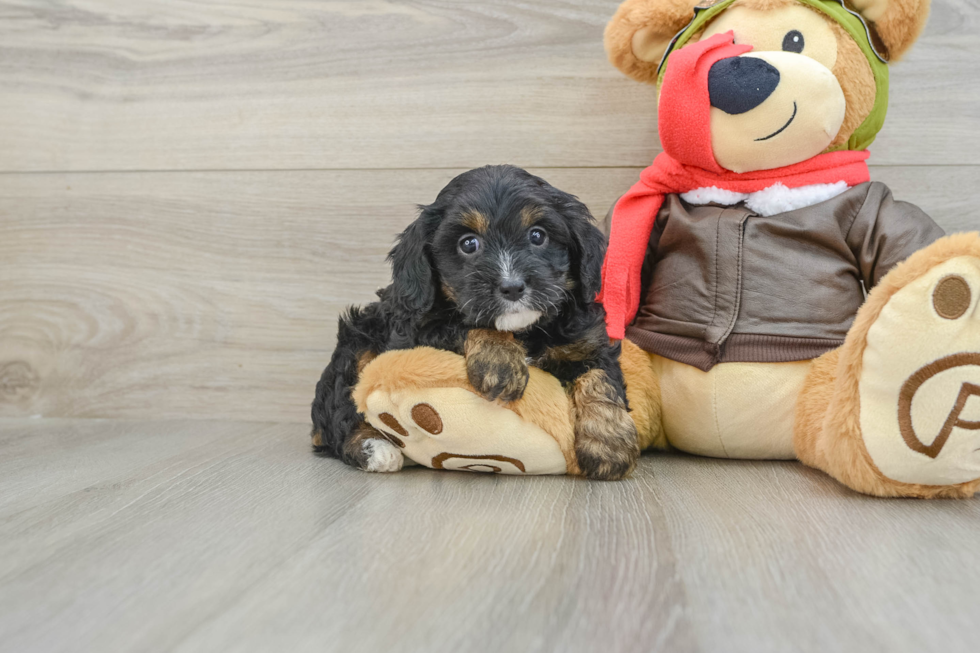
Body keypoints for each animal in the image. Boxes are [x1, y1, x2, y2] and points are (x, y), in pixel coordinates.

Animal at [310, 163, 640, 478]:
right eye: (468, 244)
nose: (512, 287)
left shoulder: (587, 341)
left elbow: (600, 377)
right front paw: (501, 362)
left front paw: (609, 443)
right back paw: (375, 448)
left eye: (538, 236)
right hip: (356, 343)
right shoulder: (417, 327)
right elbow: (465, 323)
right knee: (339, 417)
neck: (523, 330)